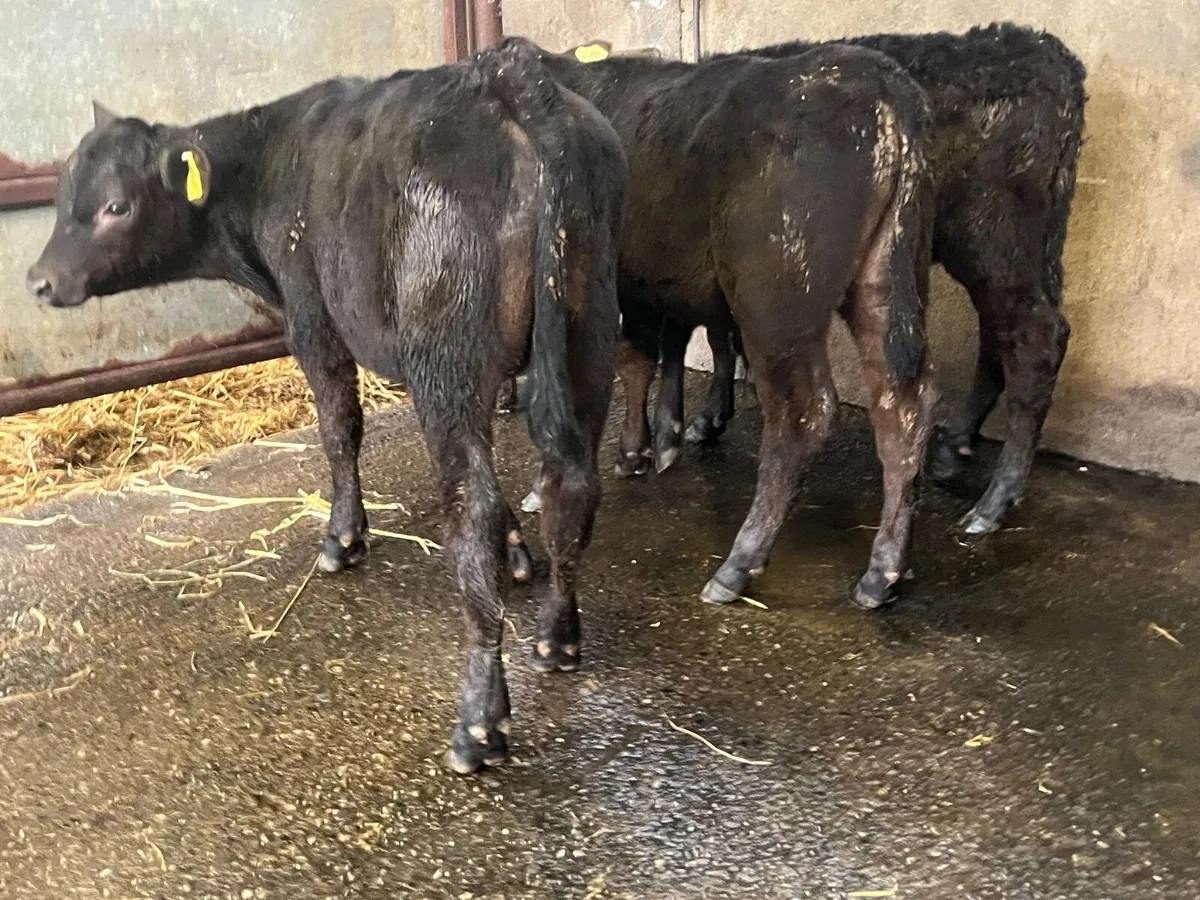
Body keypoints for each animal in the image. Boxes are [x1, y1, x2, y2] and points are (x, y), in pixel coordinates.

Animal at [25, 38, 628, 774]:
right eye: (61, 196)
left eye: (115, 206)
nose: (39, 280)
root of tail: (507, 80)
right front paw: (520, 554)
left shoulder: (312, 317)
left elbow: (340, 427)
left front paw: (343, 538)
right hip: (586, 326)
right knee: (569, 482)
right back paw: (557, 638)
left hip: (447, 355)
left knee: (472, 512)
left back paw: (479, 722)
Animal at [518, 40, 938, 609]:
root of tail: (879, 80)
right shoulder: (643, 282)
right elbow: (641, 357)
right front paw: (642, 447)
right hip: (887, 281)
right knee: (903, 404)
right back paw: (884, 571)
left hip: (775, 303)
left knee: (802, 415)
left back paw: (739, 564)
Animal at [671, 24, 1088, 536]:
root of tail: (1043, 50)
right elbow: (721, 333)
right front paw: (712, 417)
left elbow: (721, 334)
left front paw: (709, 418)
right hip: (1013, 251)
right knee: (1001, 334)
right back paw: (955, 449)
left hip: (996, 237)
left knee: (1036, 338)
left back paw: (993, 502)